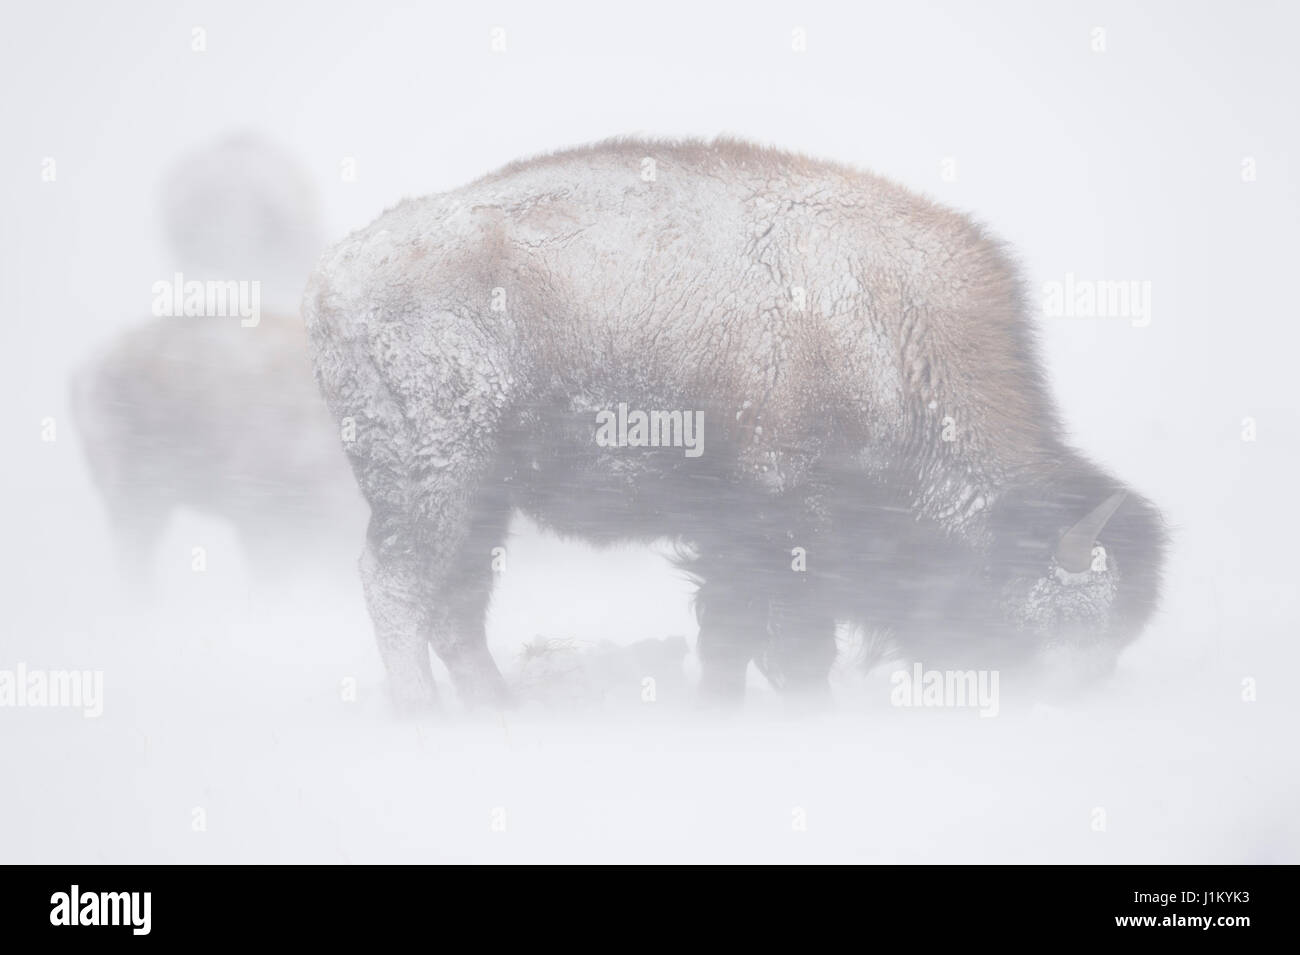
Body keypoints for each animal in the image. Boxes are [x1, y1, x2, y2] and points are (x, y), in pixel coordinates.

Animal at [304, 138, 1170, 712]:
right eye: (1048, 630)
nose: (1046, 710)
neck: (889, 338)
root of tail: (336, 273)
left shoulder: (733, 538)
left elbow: (731, 632)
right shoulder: (784, 524)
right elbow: (786, 646)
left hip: (482, 496)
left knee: (456, 602)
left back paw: (498, 710)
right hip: (434, 479)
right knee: (398, 585)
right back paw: (424, 717)